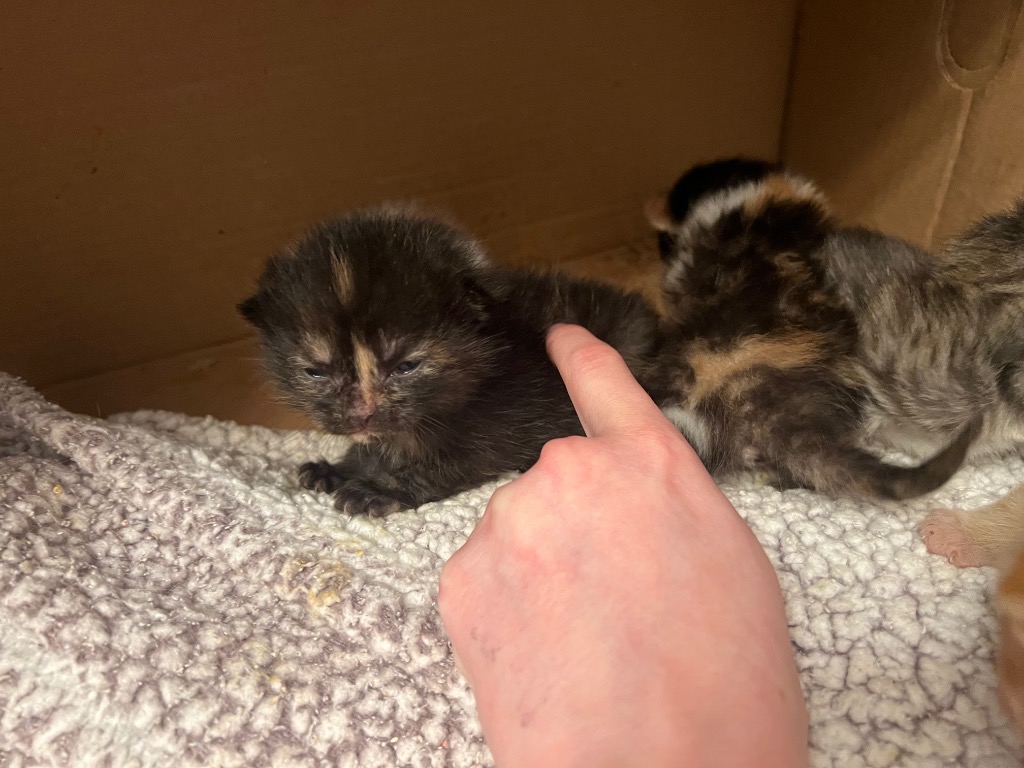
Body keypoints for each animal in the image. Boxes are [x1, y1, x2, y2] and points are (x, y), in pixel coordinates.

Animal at [239, 205, 665, 516]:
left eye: (406, 366)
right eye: (315, 371)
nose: (363, 416)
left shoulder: (499, 425)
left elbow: (444, 465)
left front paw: (377, 488)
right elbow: (375, 447)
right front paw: (339, 468)